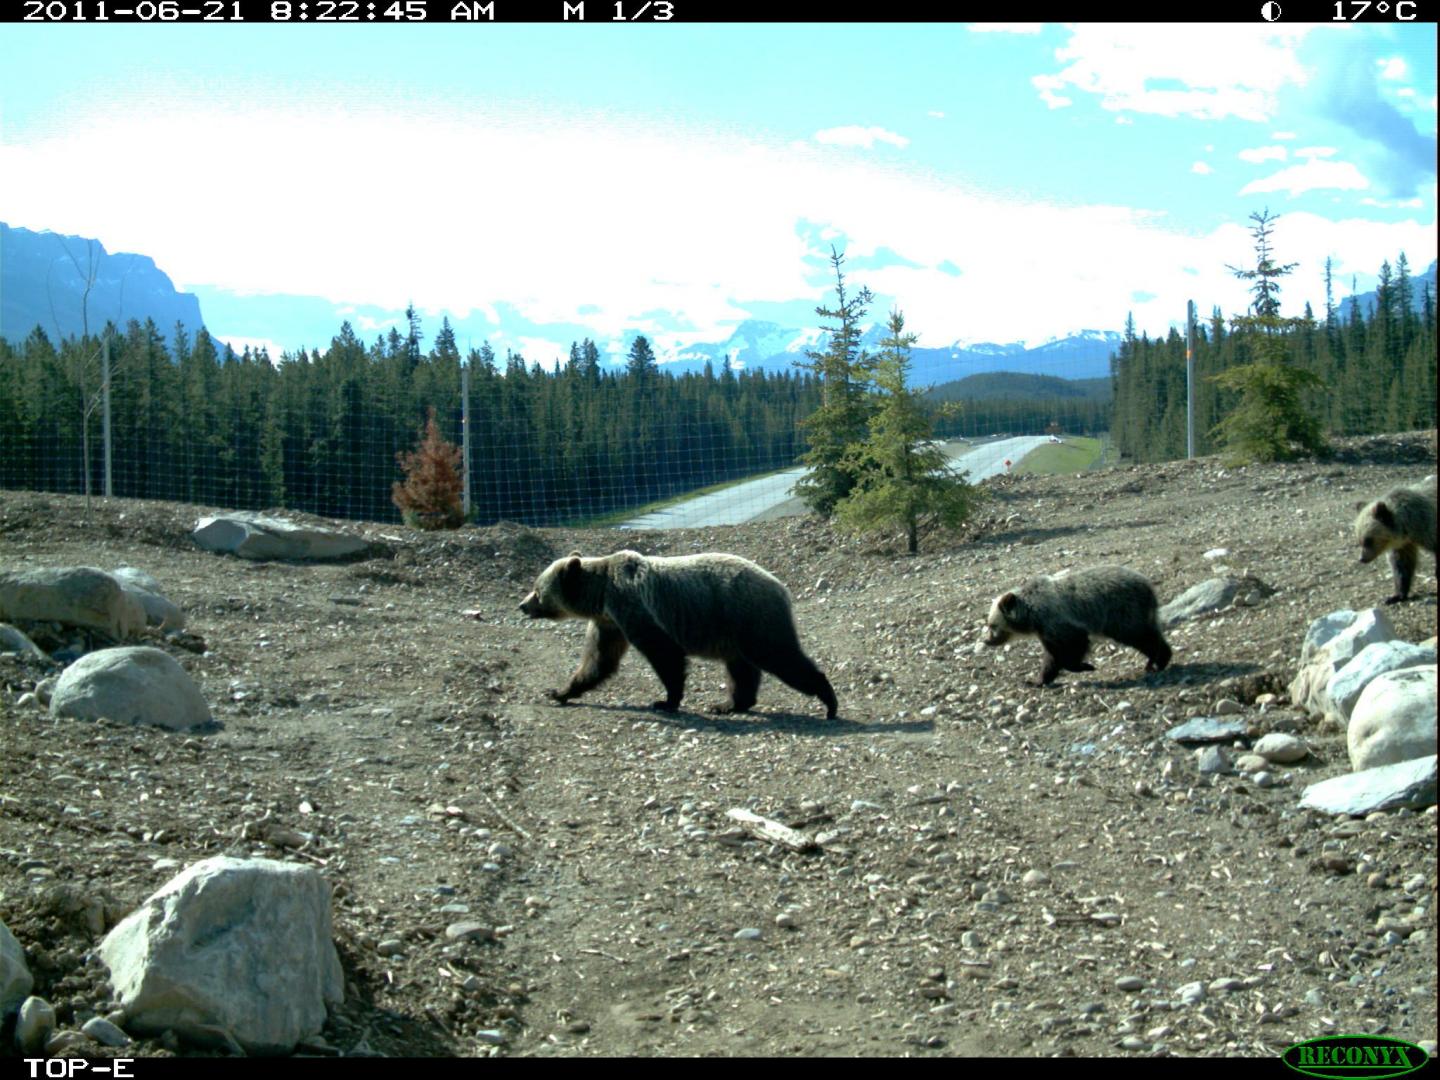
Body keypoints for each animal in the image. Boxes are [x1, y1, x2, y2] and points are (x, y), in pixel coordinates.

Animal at [518, 552, 840, 722]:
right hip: (734, 631)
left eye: (537, 590)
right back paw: (728, 704)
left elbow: (664, 653)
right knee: (741, 668)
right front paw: (559, 692)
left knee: (779, 656)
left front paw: (665, 701)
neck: (601, 597)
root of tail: (780, 586)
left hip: (750, 617)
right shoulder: (609, 624)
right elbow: (598, 662)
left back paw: (828, 701)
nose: (522, 605)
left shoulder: (635, 608)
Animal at [984, 567, 1175, 685]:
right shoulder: (1046, 631)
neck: (1032, 615)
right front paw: (1036, 680)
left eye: (992, 625)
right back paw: (1161, 659)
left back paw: (1155, 661)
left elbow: (1073, 645)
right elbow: (1052, 656)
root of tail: (1149, 587)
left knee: (1140, 636)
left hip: (1122, 612)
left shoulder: (1058, 622)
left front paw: (1085, 666)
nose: (986, 640)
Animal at [1353, 475, 1434, 604]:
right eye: (1359, 541)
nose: (1362, 559)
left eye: (1368, 540)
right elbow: (1401, 566)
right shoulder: (1403, 545)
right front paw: (1396, 596)